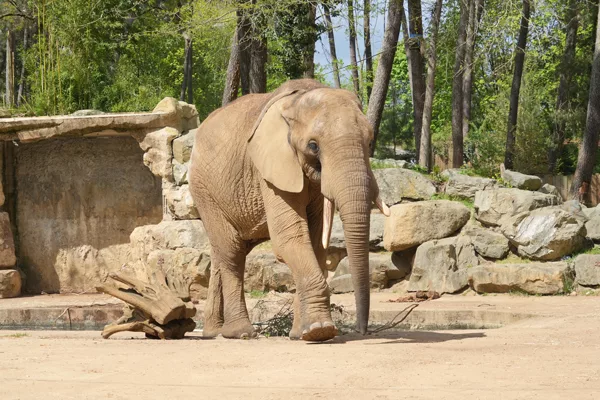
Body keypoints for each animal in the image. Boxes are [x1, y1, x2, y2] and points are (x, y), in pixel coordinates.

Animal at [190, 79, 392, 342]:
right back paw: (241, 333)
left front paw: (301, 333)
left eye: (369, 142)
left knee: (222, 252)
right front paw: (320, 331)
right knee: (232, 251)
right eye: (313, 146)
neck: (299, 99)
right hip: (204, 189)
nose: (362, 331)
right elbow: (290, 239)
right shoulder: (273, 170)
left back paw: (214, 333)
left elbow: (315, 244)